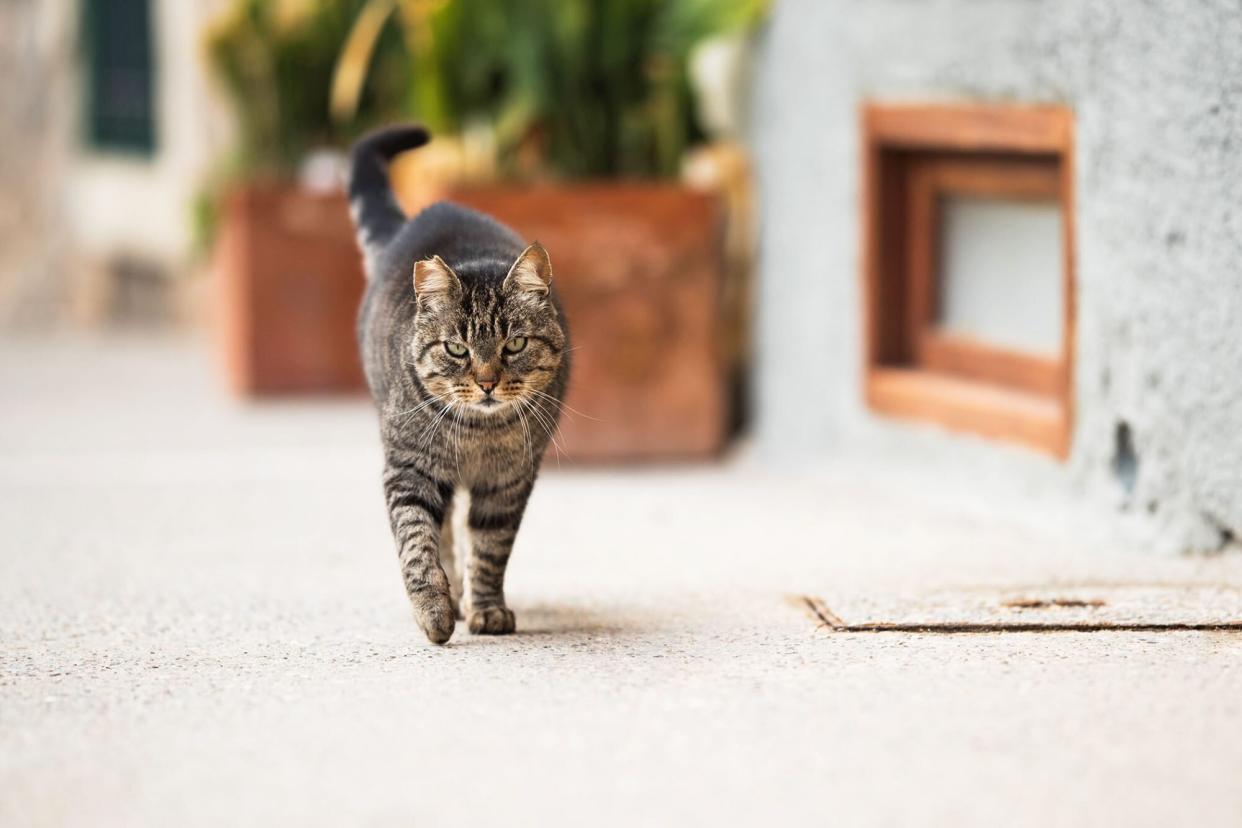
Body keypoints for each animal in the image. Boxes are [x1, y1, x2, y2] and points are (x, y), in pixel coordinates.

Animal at [345, 122, 568, 645]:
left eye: (514, 344)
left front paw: (486, 609)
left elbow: (489, 549)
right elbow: (417, 542)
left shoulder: (508, 482)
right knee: (443, 530)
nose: (487, 383)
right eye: (457, 349)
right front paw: (433, 610)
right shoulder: (410, 468)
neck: (476, 436)